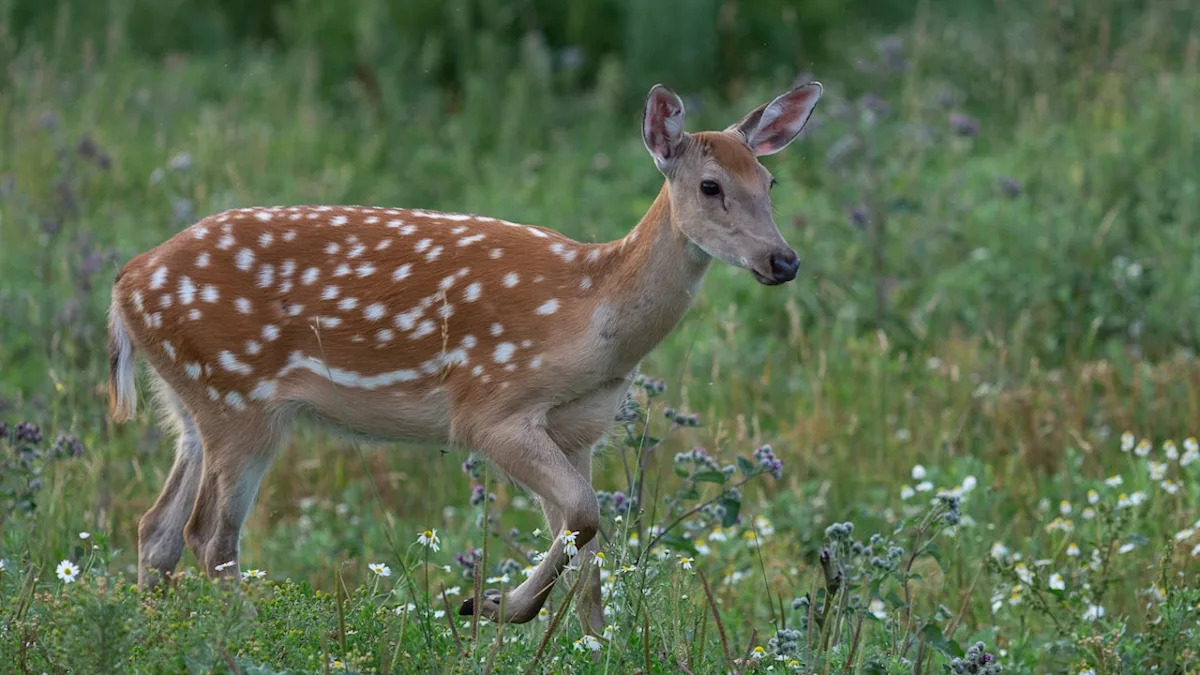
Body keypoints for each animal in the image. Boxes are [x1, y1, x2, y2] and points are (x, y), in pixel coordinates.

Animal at [106, 80, 822, 636]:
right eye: (710, 186)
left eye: (770, 180)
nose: (783, 261)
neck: (592, 316)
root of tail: (125, 283)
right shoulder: (489, 406)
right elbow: (583, 515)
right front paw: (494, 606)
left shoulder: (582, 428)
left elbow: (587, 543)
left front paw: (592, 643)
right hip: (238, 399)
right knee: (209, 536)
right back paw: (245, 638)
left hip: (192, 403)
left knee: (156, 528)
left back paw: (154, 636)